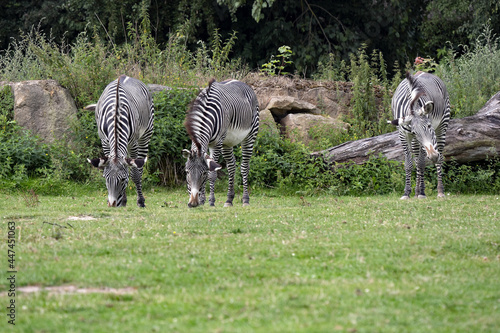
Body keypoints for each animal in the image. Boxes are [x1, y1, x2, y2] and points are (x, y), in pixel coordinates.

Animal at [86, 74, 153, 206]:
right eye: (105, 178)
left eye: (123, 179)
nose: (112, 203)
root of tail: (125, 76)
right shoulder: (105, 141)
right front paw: (122, 201)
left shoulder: (133, 144)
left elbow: (135, 174)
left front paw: (139, 201)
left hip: (145, 136)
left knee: (139, 168)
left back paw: (140, 199)